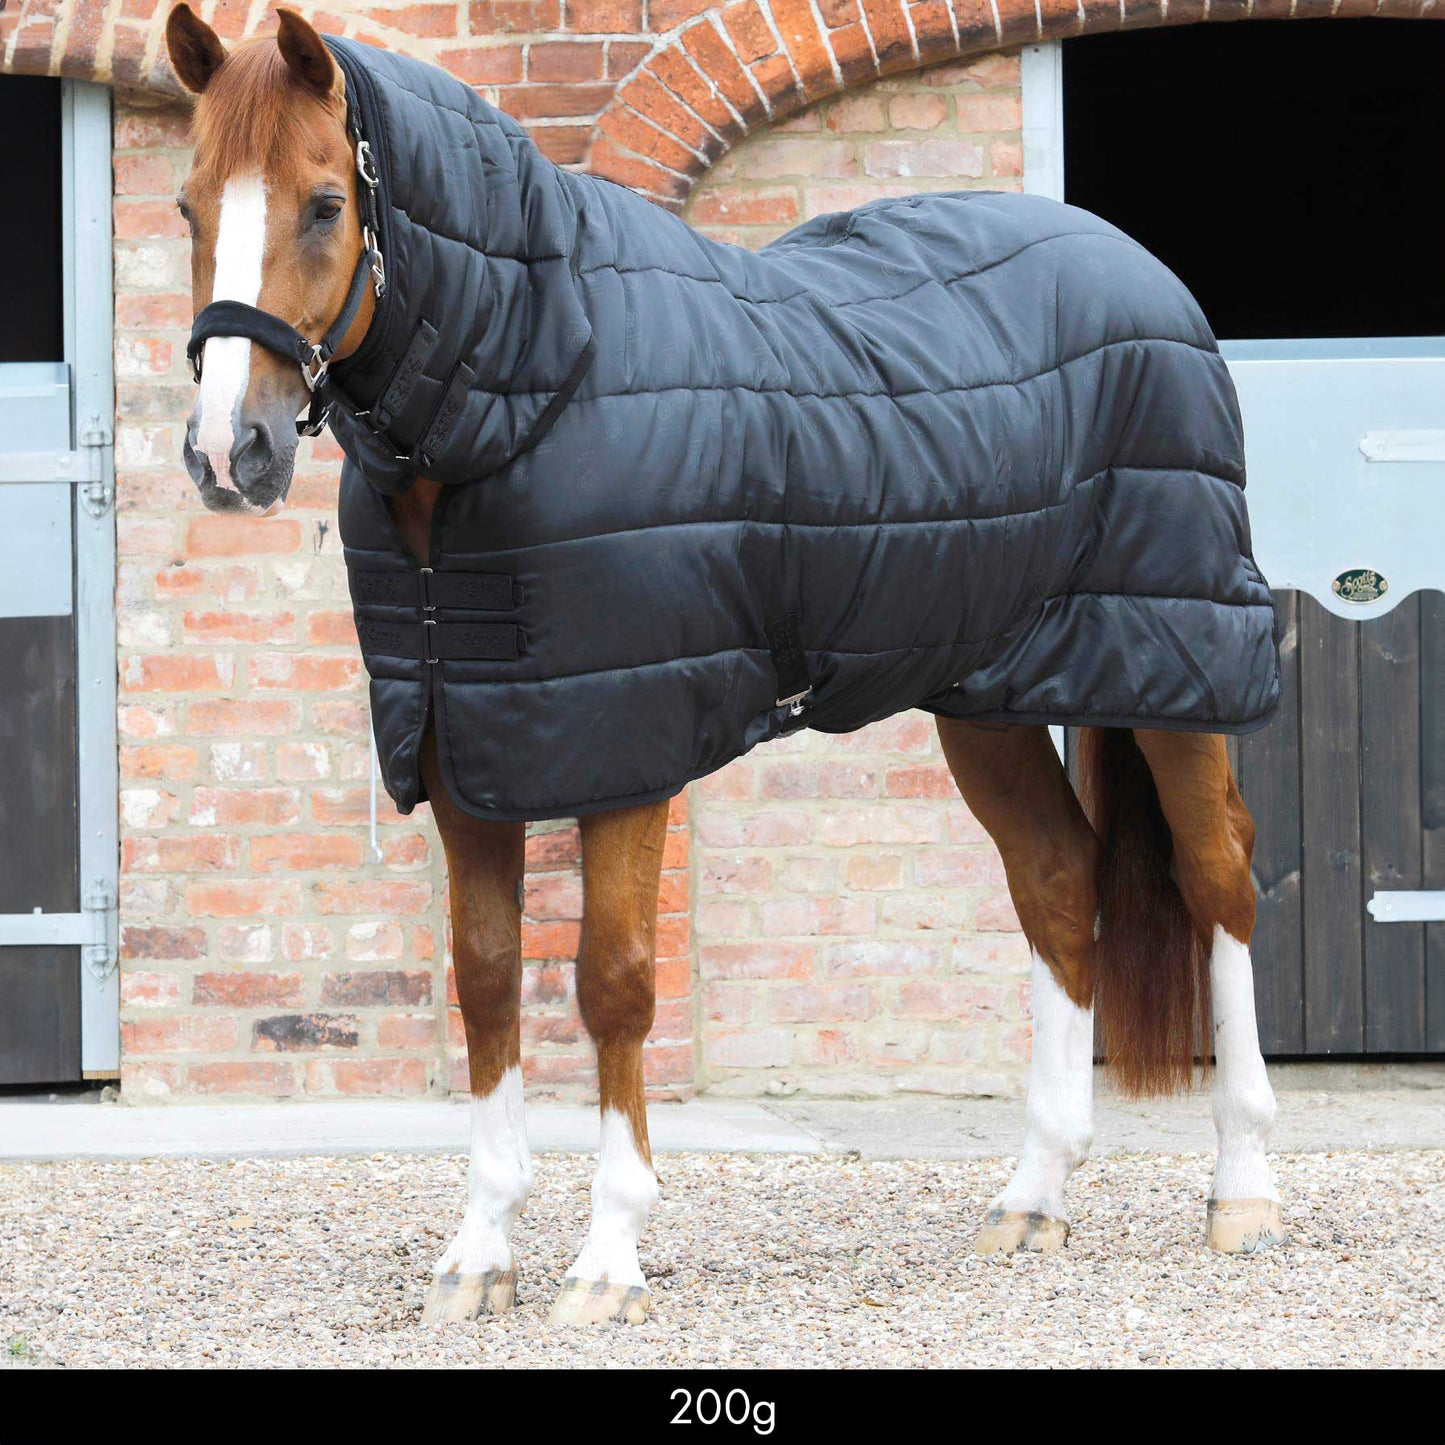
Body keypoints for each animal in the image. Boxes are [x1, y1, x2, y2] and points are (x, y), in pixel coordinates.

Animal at [164, 3, 1286, 1326]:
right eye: (188, 204)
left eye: (326, 202)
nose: (228, 453)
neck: (534, 384)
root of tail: (1139, 270)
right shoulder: (460, 750)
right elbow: (486, 979)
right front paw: (479, 1252)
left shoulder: (627, 751)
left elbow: (612, 980)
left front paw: (606, 1257)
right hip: (985, 695)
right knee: (1060, 882)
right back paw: (1030, 1196)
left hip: (1177, 662)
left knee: (1217, 878)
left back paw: (1242, 1189)